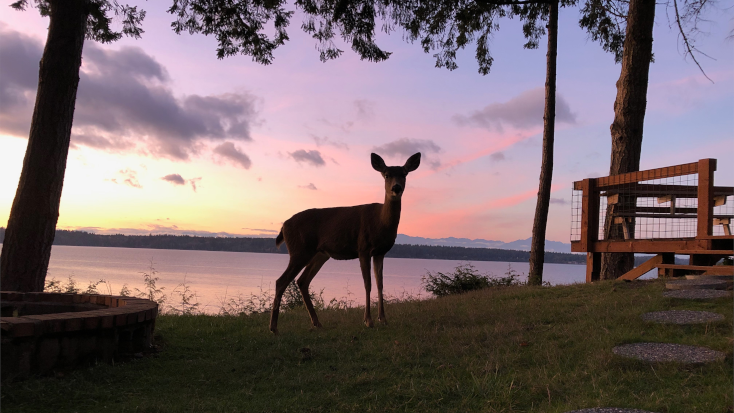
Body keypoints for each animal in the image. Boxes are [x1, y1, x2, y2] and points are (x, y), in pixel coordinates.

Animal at [270, 153, 422, 334]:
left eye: (404, 174)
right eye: (386, 175)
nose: (396, 188)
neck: (381, 223)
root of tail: (284, 226)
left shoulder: (380, 252)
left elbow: (380, 284)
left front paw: (383, 319)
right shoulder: (363, 248)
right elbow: (368, 284)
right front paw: (368, 320)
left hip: (319, 254)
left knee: (302, 281)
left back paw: (316, 323)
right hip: (299, 250)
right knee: (281, 281)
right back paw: (274, 327)